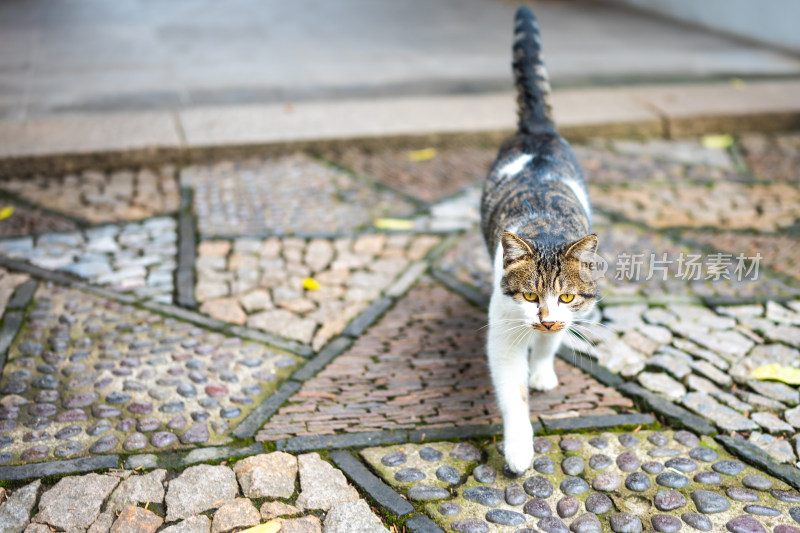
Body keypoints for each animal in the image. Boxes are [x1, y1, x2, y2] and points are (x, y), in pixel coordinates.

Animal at [478, 6, 596, 474]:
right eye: (529, 296)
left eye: (565, 296)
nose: (544, 318)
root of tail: (537, 129)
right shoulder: (503, 334)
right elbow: (514, 395)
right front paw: (519, 449)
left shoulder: (569, 315)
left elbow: (550, 344)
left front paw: (543, 370)